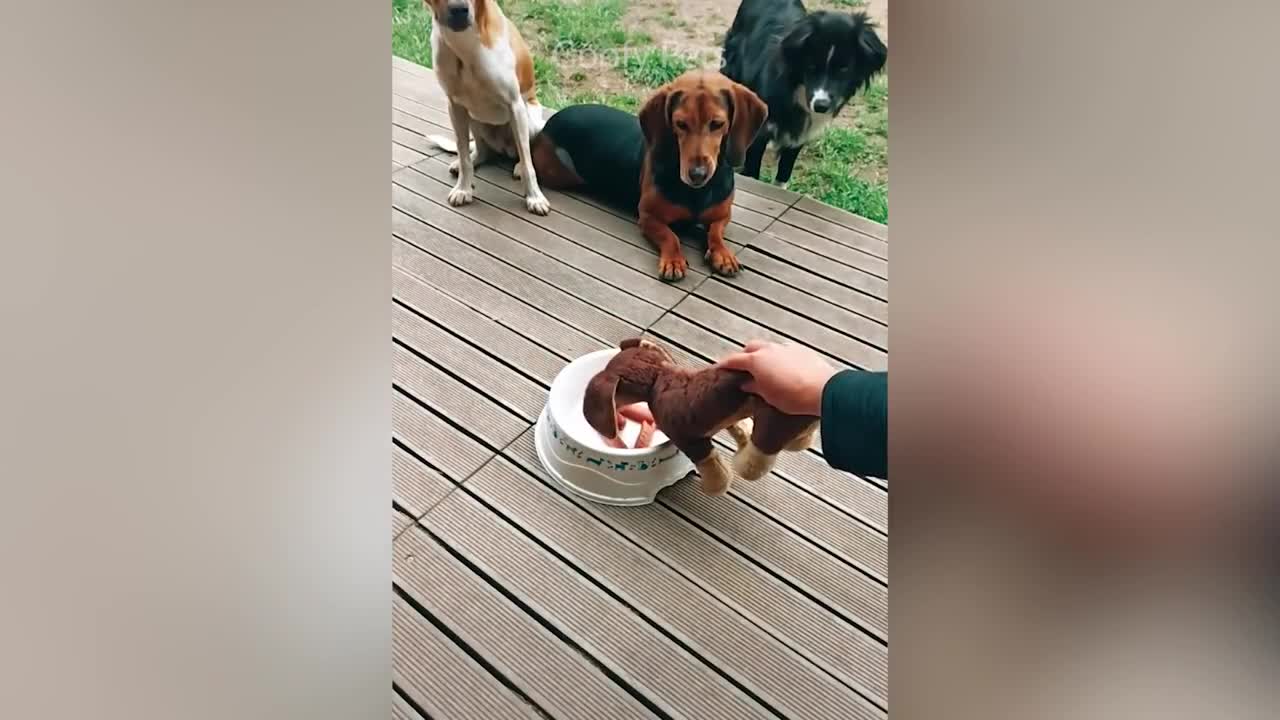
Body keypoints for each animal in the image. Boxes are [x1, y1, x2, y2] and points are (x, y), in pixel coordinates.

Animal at [427, 0, 552, 212]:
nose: (459, 10)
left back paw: (518, 166)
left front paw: (534, 198)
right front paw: (463, 189)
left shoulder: (514, 105)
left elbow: (528, 163)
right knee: (482, 151)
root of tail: (503, 148)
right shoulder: (455, 106)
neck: (464, 43)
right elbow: (464, 156)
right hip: (473, 117)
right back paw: (471, 159)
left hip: (529, 119)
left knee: (525, 152)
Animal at [586, 335, 814, 491]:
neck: (657, 376)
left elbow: (709, 462)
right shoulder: (724, 416)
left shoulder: (686, 437)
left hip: (777, 415)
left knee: (764, 447)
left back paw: (748, 465)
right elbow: (739, 429)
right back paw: (800, 439)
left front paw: (715, 486)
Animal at [721, 0, 890, 184]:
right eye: (811, 66)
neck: (797, 89)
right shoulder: (762, 131)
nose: (821, 106)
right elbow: (753, 173)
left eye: (844, 69)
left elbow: (785, 171)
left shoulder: (802, 131)